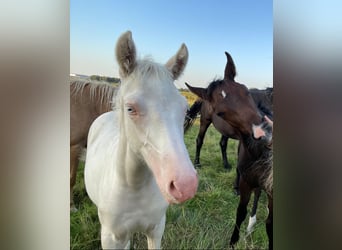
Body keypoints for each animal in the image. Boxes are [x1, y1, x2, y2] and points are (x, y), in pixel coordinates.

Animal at [184, 51, 272, 249]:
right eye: (221, 112)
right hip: (205, 121)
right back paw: (197, 162)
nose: (264, 132)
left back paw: (225, 164)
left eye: (246, 91)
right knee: (200, 140)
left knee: (223, 143)